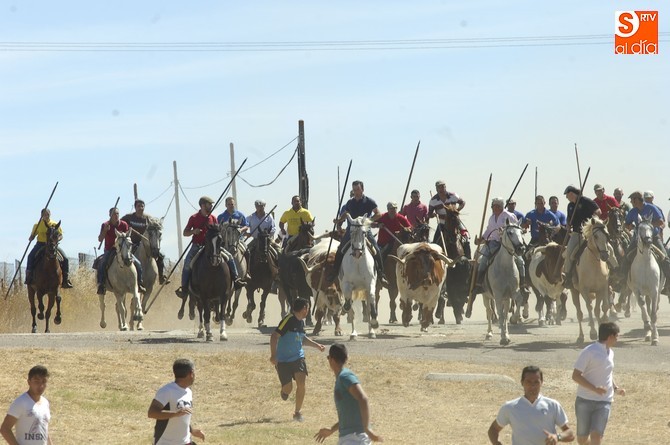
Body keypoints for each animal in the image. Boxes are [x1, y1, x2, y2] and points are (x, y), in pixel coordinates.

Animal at [628, 216, 663, 345]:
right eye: (640, 228)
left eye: (651, 228)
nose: (648, 241)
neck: (645, 263)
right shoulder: (637, 290)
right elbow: (643, 306)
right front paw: (648, 327)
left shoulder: (654, 291)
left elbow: (653, 313)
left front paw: (655, 337)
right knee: (644, 306)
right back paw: (647, 333)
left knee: (654, 308)